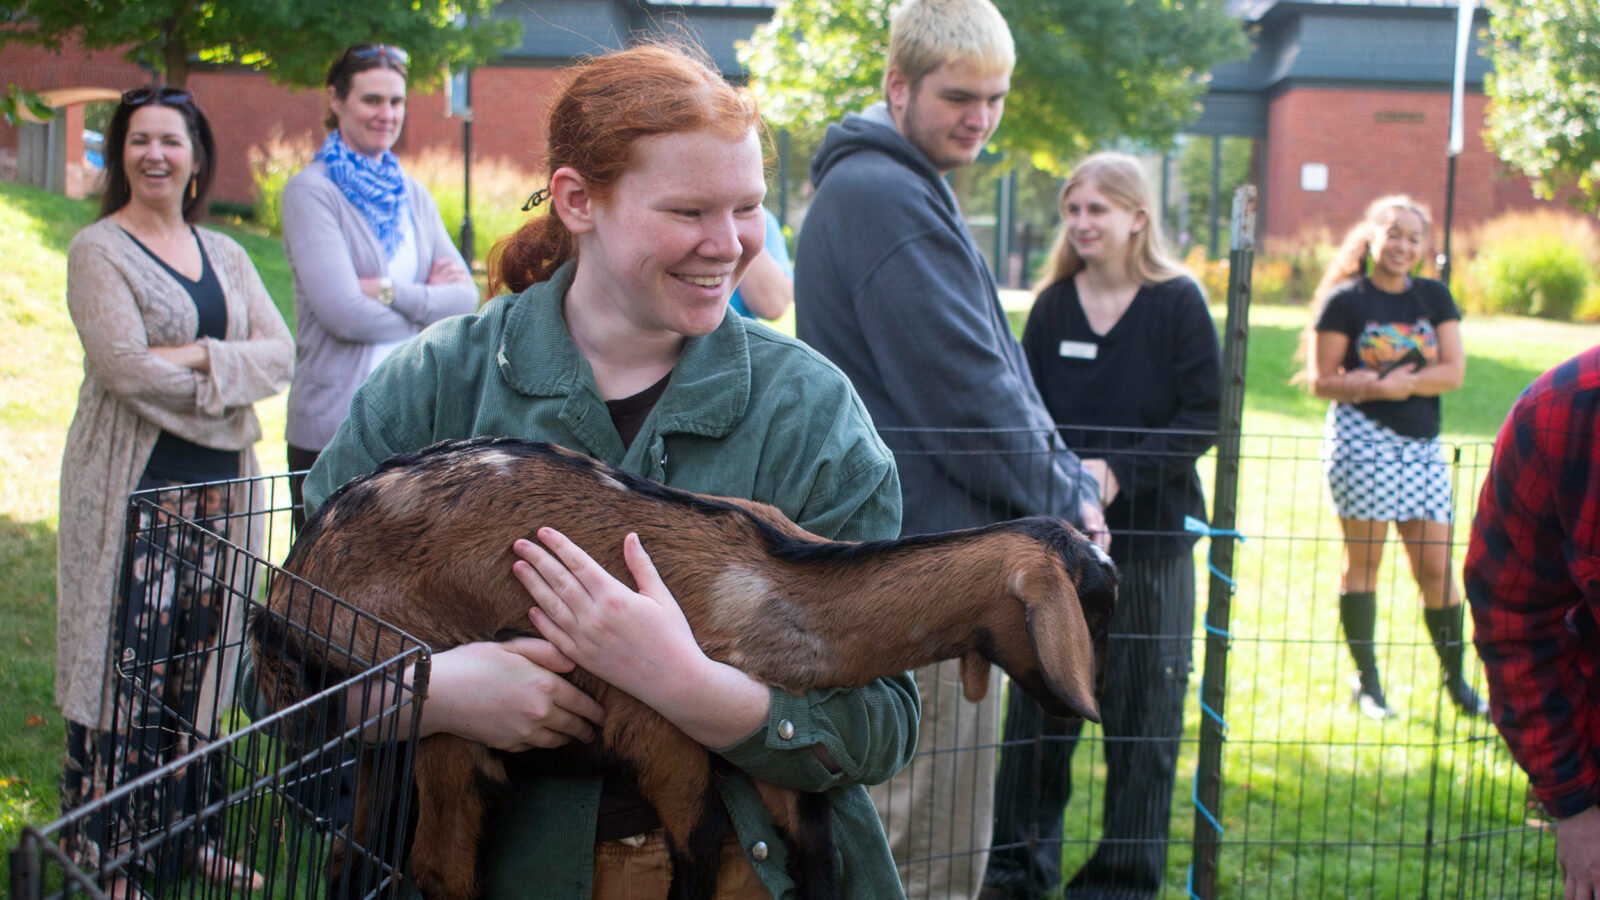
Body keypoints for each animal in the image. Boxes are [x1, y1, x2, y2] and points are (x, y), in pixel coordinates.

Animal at [249, 438, 1120, 896]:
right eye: (1099, 607)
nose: (1084, 709)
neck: (773, 587)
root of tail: (283, 596)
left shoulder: (776, 754)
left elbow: (817, 859)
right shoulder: (661, 735)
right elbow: (697, 853)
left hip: (387, 742)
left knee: (357, 852)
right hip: (432, 701)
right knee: (437, 867)